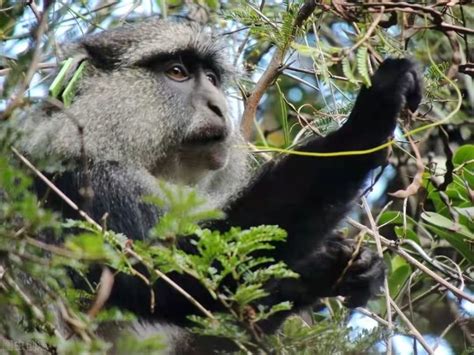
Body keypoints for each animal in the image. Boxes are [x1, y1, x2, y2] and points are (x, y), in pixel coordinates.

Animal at [15, 18, 422, 354]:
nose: (216, 105)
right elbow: (180, 278)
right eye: (177, 72)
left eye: (211, 78)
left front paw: (340, 269)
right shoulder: (80, 180)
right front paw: (369, 117)